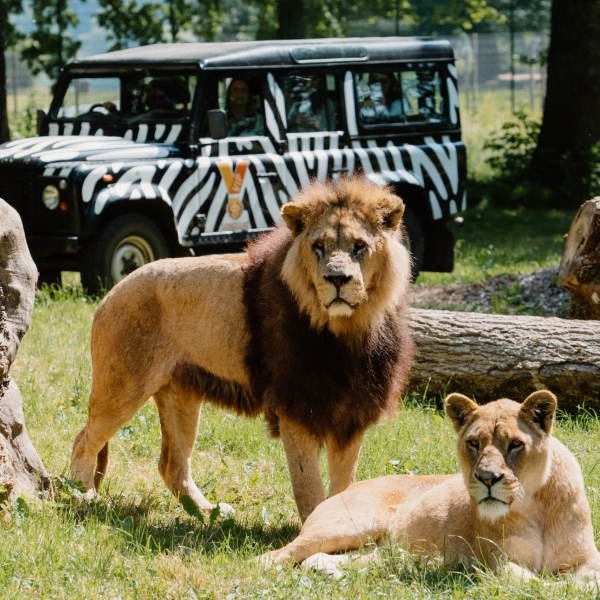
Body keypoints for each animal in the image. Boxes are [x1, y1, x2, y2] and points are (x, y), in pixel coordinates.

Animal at [70, 177, 414, 520]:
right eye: (318, 246)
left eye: (360, 246)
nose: (337, 278)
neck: (344, 333)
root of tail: (110, 292)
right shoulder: (295, 409)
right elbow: (309, 488)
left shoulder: (351, 414)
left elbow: (343, 486)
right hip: (122, 388)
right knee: (83, 441)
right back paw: (82, 497)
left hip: (179, 394)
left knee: (172, 465)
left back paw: (208, 512)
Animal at [260, 390, 600, 580]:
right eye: (474, 443)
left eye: (515, 444)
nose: (487, 478)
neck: (534, 506)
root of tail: (347, 489)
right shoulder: (498, 562)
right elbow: (528, 581)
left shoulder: (587, 559)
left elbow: (585, 581)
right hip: (351, 524)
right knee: (272, 557)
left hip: (379, 548)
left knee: (336, 558)